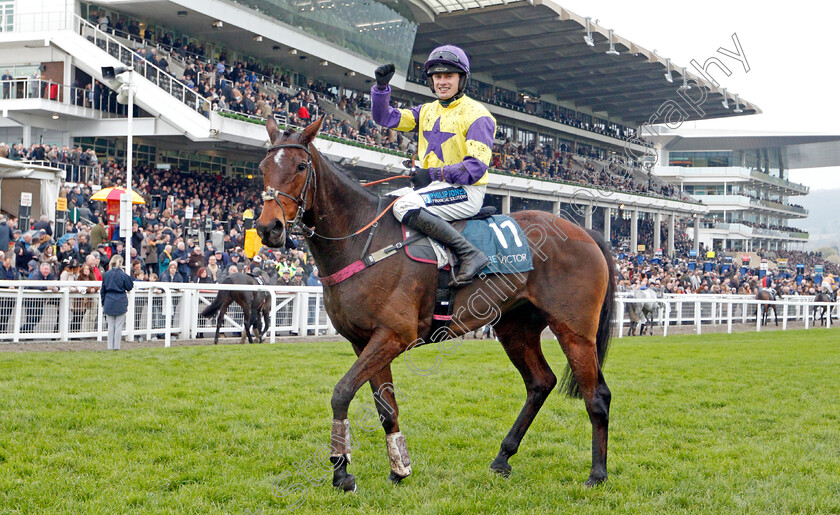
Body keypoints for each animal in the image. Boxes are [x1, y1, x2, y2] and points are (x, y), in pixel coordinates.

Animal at [256, 117, 616, 492]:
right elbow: (386, 407)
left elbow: (342, 392)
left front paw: (341, 471)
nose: (269, 227)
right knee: (540, 383)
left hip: (574, 330)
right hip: (516, 327)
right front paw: (399, 468)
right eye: (263, 167)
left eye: (300, 166)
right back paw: (503, 457)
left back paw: (597, 473)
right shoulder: (364, 341)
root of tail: (587, 233)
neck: (362, 239)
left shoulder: (393, 335)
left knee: (596, 395)